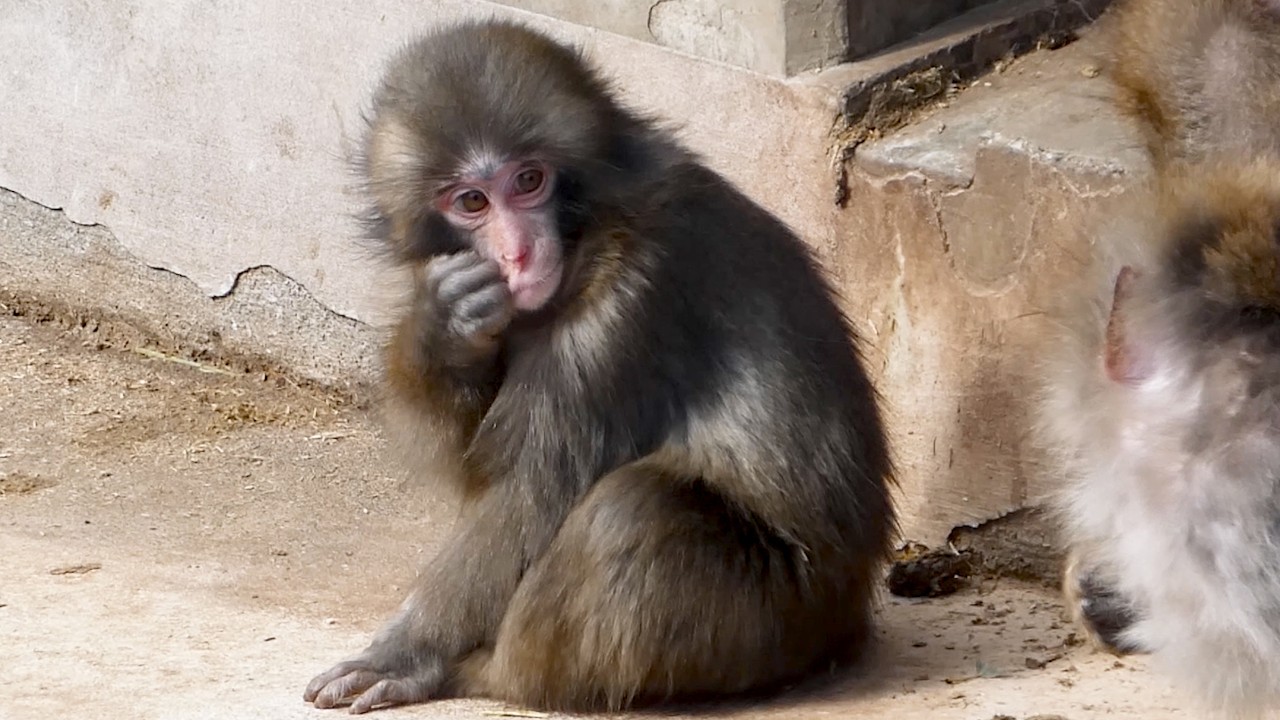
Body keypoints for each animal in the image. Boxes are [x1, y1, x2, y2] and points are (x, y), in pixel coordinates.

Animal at [302, 19, 896, 715]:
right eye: (471, 201)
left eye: (529, 181)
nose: (518, 252)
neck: (587, 230)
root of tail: (851, 616)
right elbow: (471, 464)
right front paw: (441, 325)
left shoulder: (631, 292)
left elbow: (526, 494)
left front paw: (408, 654)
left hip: (780, 624)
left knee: (631, 510)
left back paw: (493, 674)